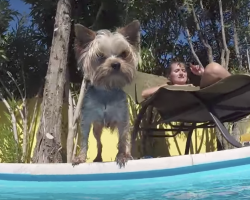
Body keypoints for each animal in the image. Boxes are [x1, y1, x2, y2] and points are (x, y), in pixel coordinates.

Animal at [71, 19, 141, 167]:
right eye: (99, 55)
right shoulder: (87, 120)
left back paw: (128, 154)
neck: (107, 89)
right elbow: (84, 141)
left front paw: (122, 156)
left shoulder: (122, 119)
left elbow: (122, 140)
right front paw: (80, 158)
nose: (116, 64)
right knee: (99, 143)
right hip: (97, 129)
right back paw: (98, 157)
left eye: (124, 54)